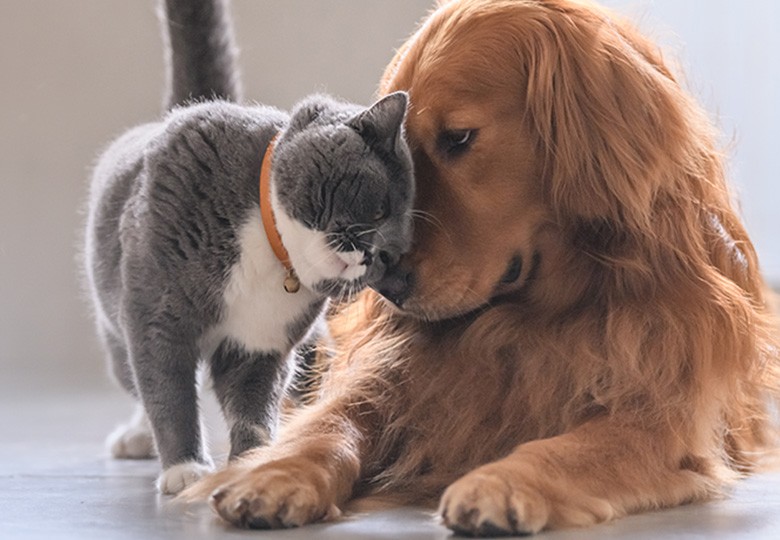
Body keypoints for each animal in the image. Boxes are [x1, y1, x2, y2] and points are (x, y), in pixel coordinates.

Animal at [82, 0, 418, 494]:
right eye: (378, 211)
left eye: (391, 255)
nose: (374, 256)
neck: (269, 249)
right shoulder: (156, 316)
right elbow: (168, 390)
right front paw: (185, 467)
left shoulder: (260, 344)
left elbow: (253, 404)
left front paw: (253, 462)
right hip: (115, 324)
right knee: (135, 378)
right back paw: (138, 436)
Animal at [190, 0, 780, 532]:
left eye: (459, 138)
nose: (386, 285)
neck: (531, 317)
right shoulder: (390, 379)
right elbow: (329, 424)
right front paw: (273, 474)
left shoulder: (658, 418)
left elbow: (566, 447)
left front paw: (500, 483)